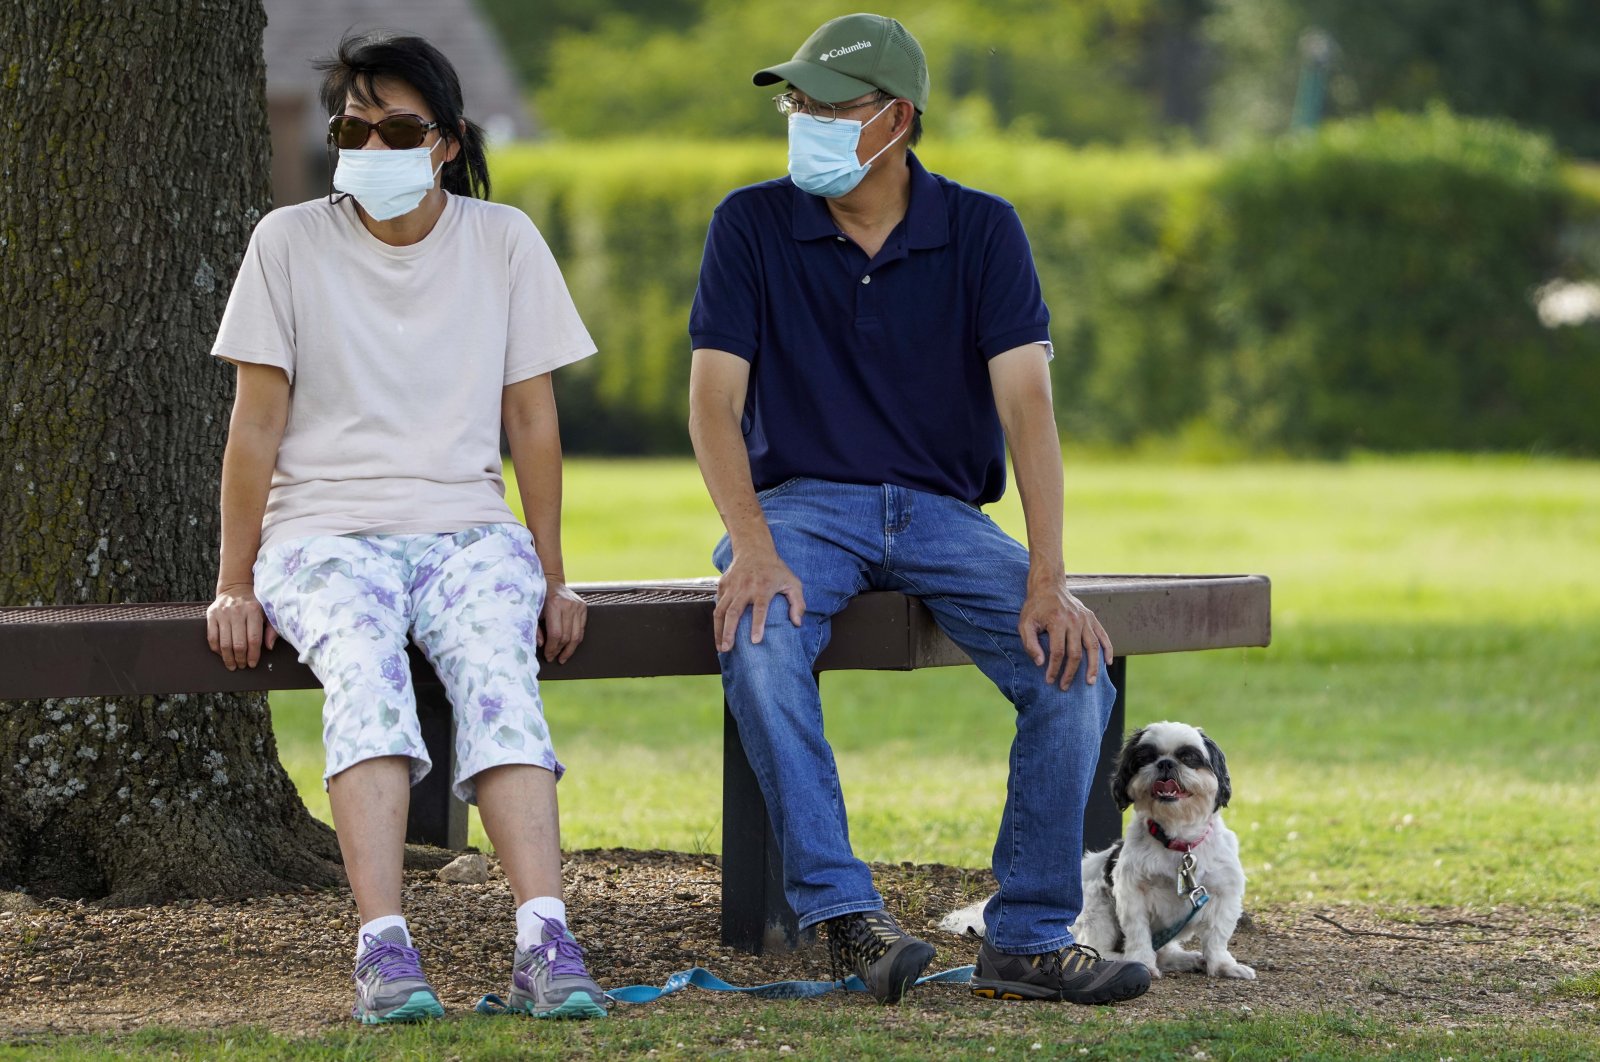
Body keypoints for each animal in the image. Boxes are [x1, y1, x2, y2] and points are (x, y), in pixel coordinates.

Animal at [940, 722, 1254, 978]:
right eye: (1145, 758)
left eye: (1188, 757)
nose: (1165, 763)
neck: (1178, 842)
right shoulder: (1131, 893)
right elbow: (1138, 932)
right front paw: (1143, 962)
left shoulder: (1224, 892)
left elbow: (1217, 936)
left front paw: (1222, 965)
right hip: (1096, 903)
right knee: (1098, 945)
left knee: (1164, 950)